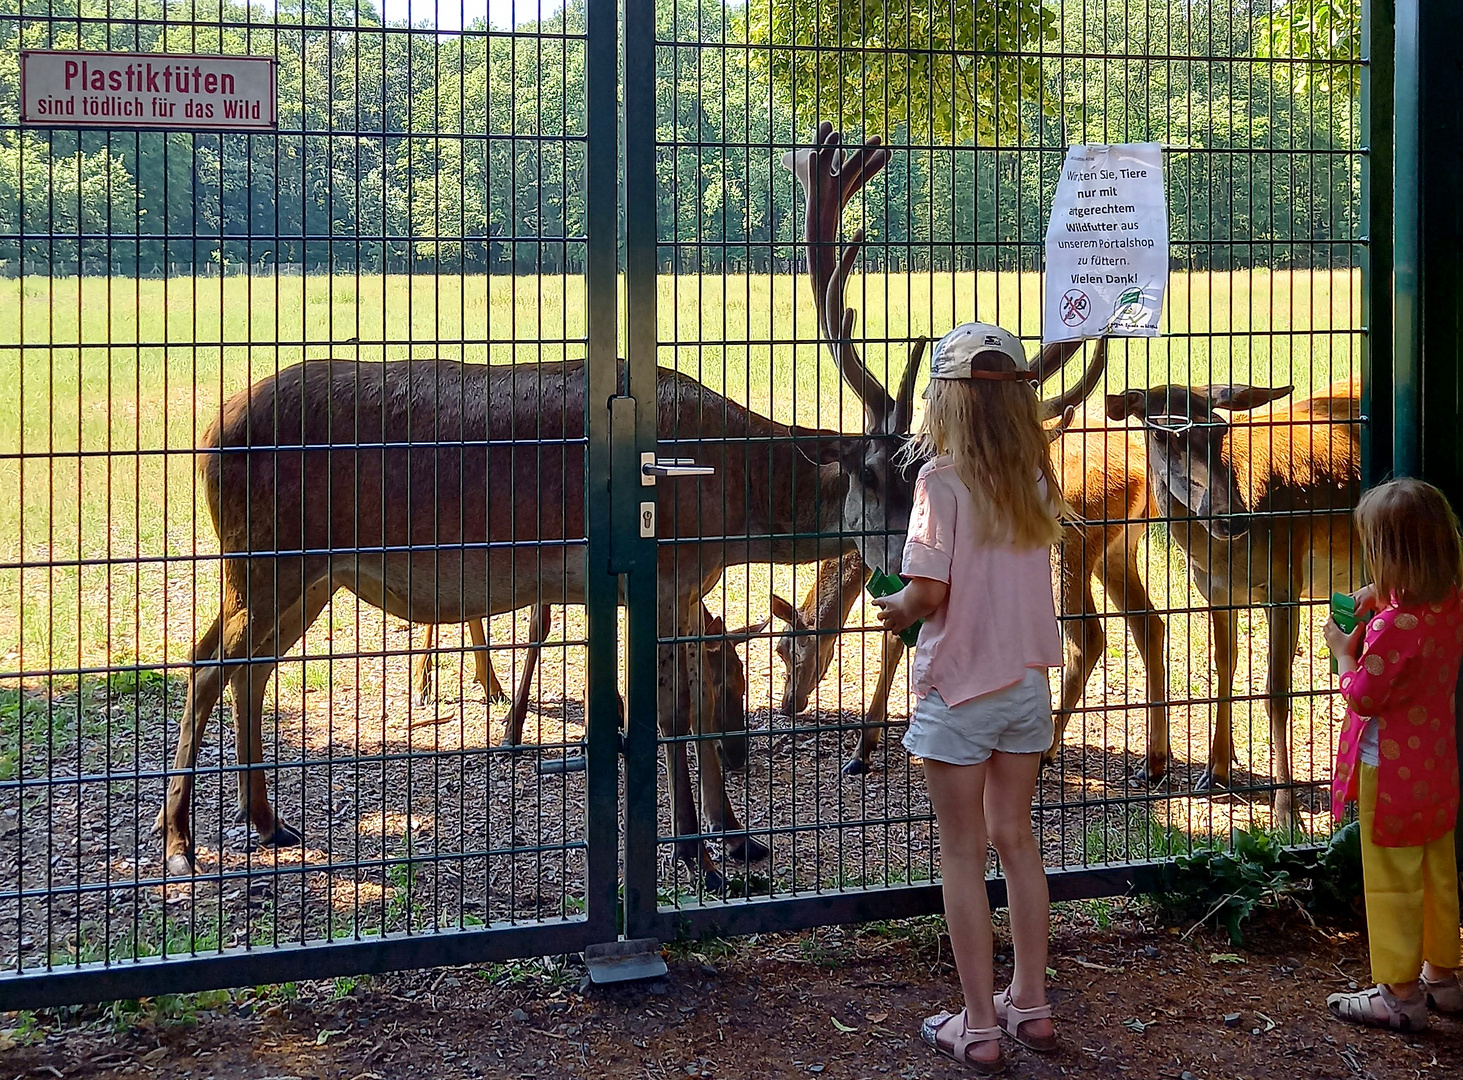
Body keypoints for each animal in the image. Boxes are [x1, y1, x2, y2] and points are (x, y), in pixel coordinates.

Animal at [1111, 371, 1363, 813]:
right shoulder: (1214, 590)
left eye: (1220, 429)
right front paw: (1216, 772)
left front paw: (1285, 810)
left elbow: (1276, 691)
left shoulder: (1285, 579)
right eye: (1160, 433)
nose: (1232, 516)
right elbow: (1223, 666)